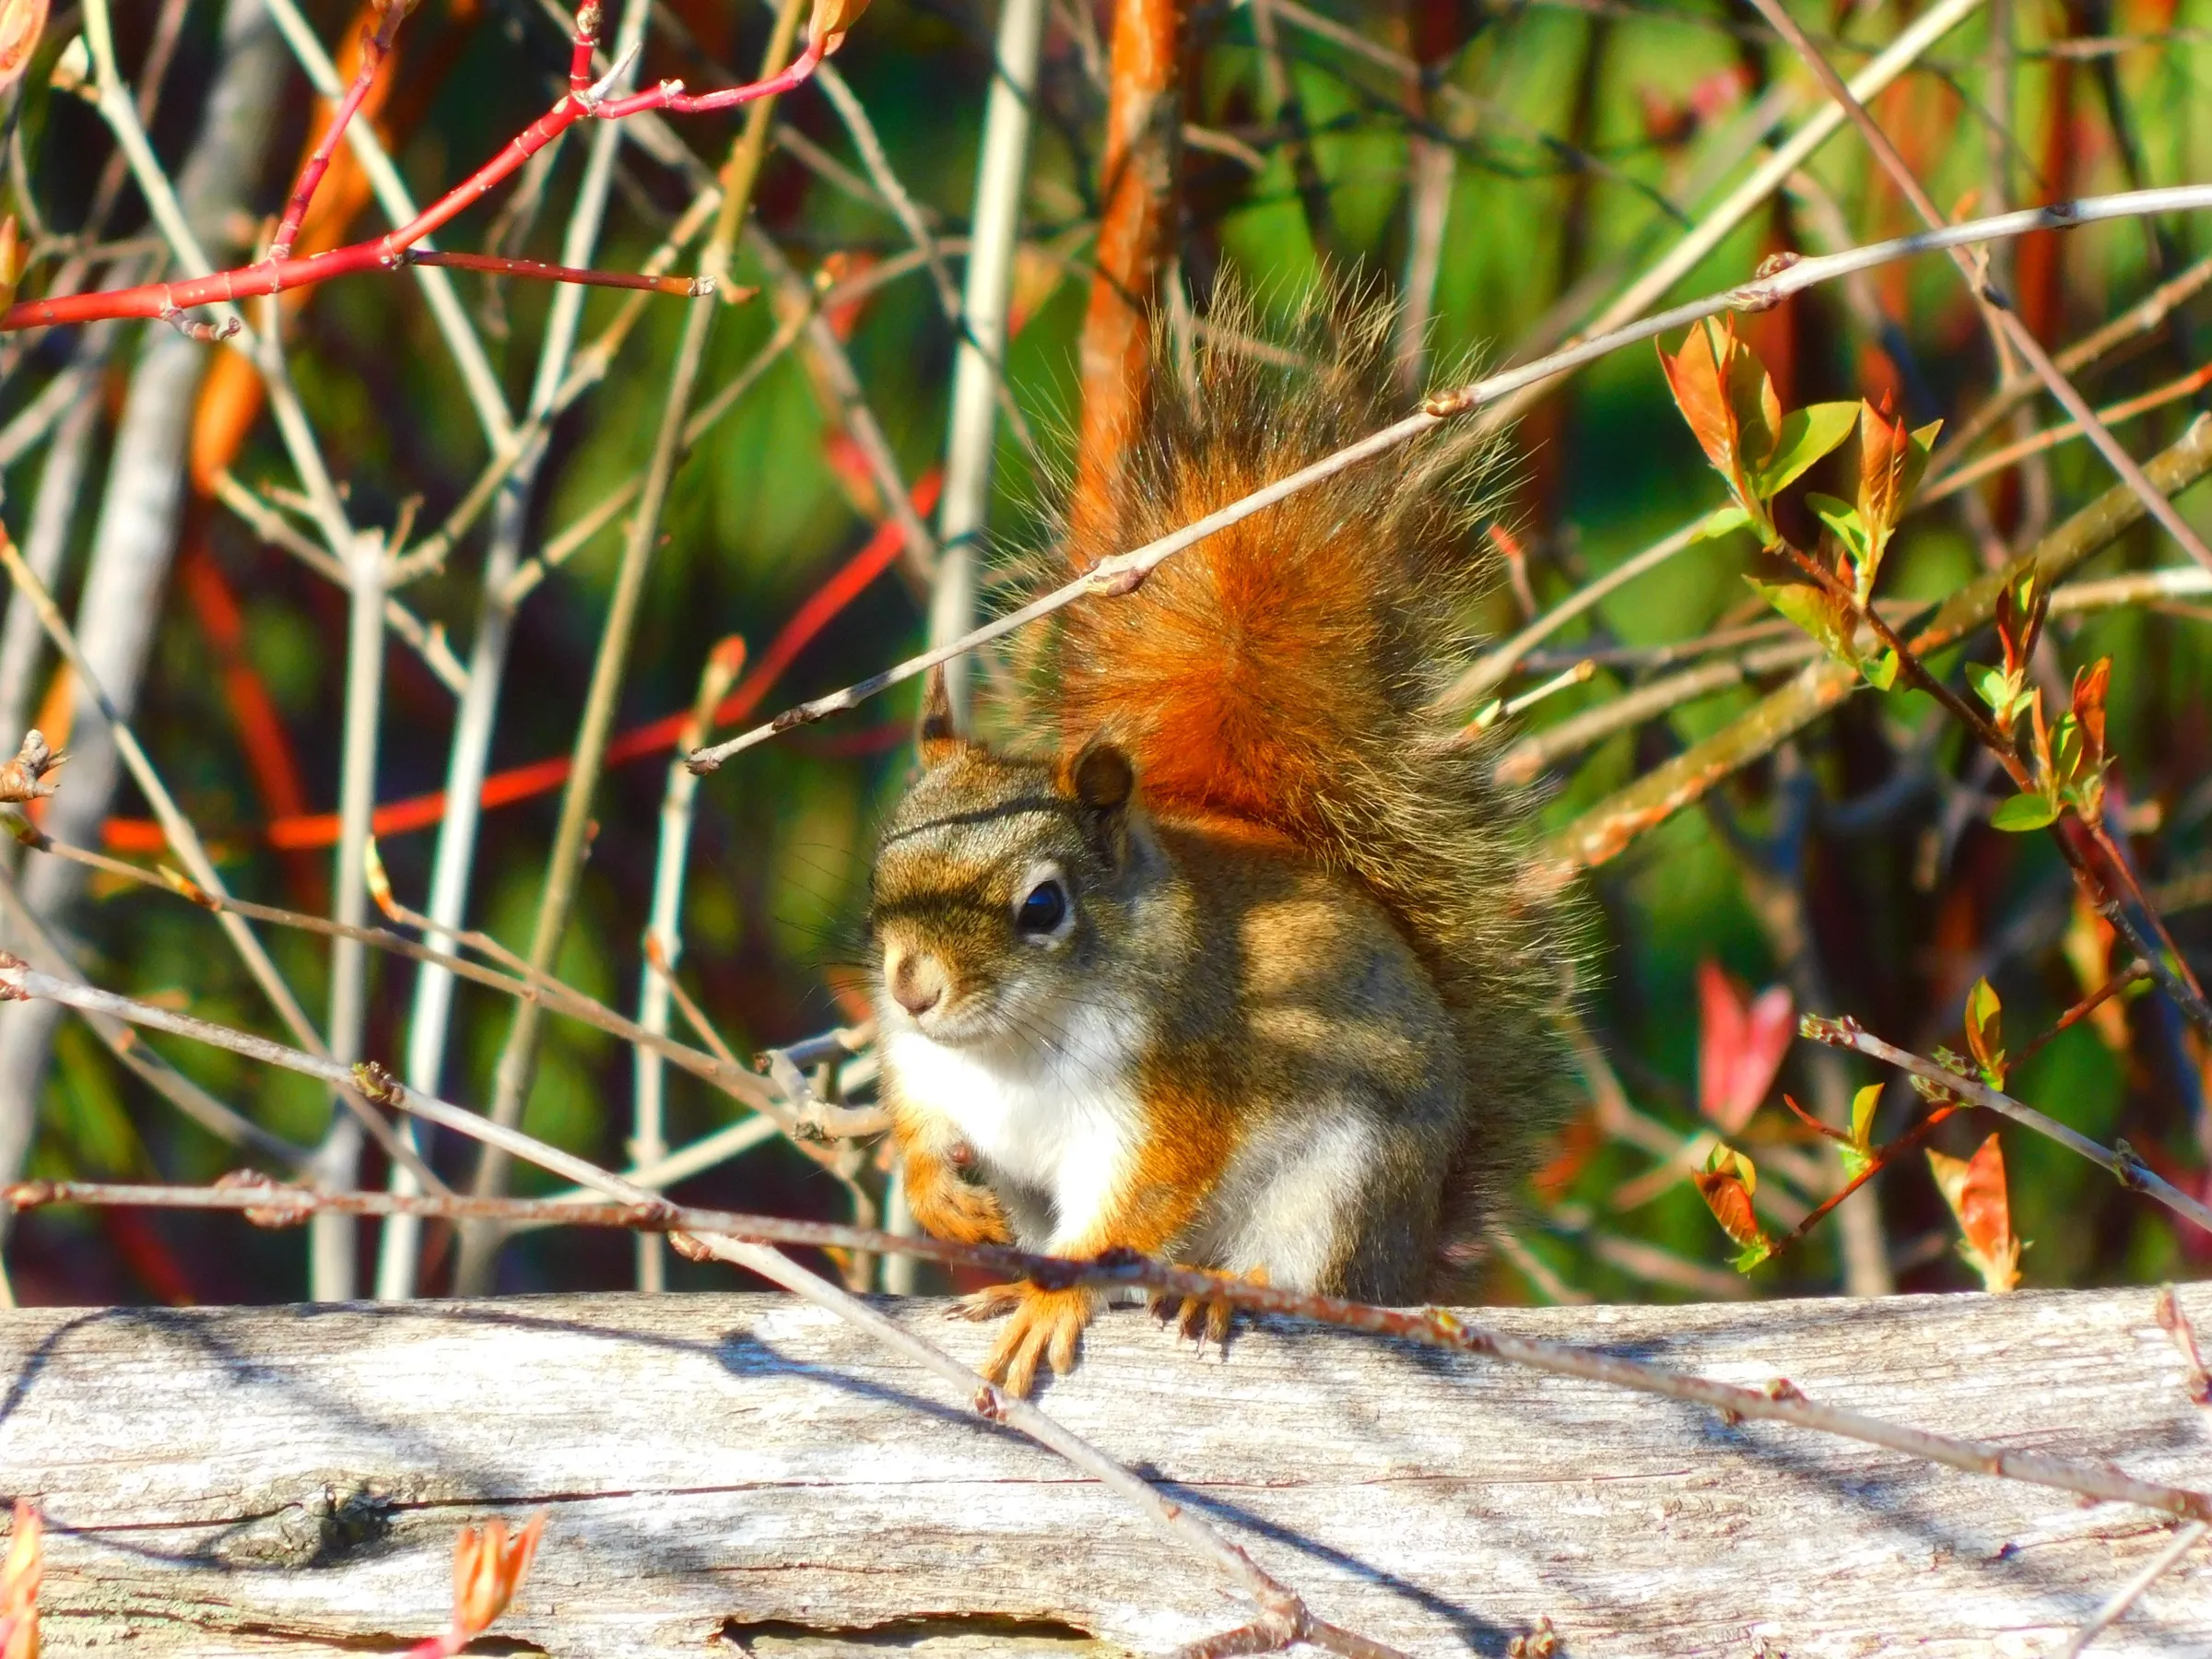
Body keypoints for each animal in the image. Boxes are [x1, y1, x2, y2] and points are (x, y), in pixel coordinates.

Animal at [868, 296, 1573, 1397]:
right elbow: (920, 1128)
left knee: (1310, 1280)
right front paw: (937, 1196)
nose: (912, 988)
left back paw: (1227, 1287)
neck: (1002, 1048)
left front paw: (1054, 1298)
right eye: (884, 868)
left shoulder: (1171, 1094)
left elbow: (1136, 1204)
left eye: (1043, 907)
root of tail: (1411, 1255)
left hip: (1342, 1187)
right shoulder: (930, 1072)